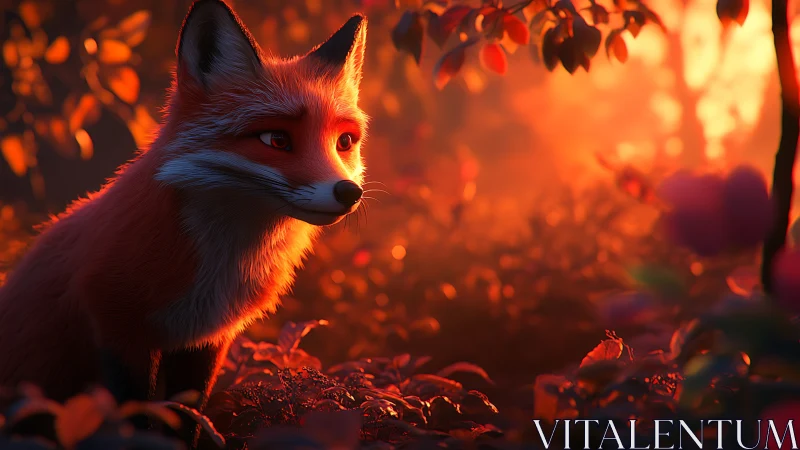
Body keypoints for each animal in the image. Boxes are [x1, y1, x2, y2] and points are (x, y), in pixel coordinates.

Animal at [0, 0, 369, 418]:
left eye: (344, 142)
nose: (348, 192)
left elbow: (186, 416)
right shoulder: (119, 327)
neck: (218, 270)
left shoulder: (204, 340)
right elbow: (135, 416)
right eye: (276, 139)